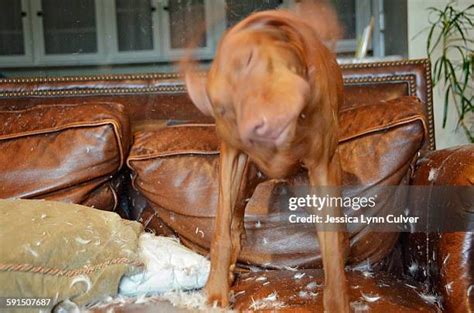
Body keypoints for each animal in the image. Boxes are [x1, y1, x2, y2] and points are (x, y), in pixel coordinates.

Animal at [183, 6, 350, 310]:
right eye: (223, 109)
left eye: (249, 60)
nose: (255, 129)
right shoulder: (232, 156)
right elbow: (221, 230)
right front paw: (216, 291)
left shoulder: (322, 165)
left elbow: (330, 246)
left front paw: (337, 304)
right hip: (247, 179)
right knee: (235, 221)